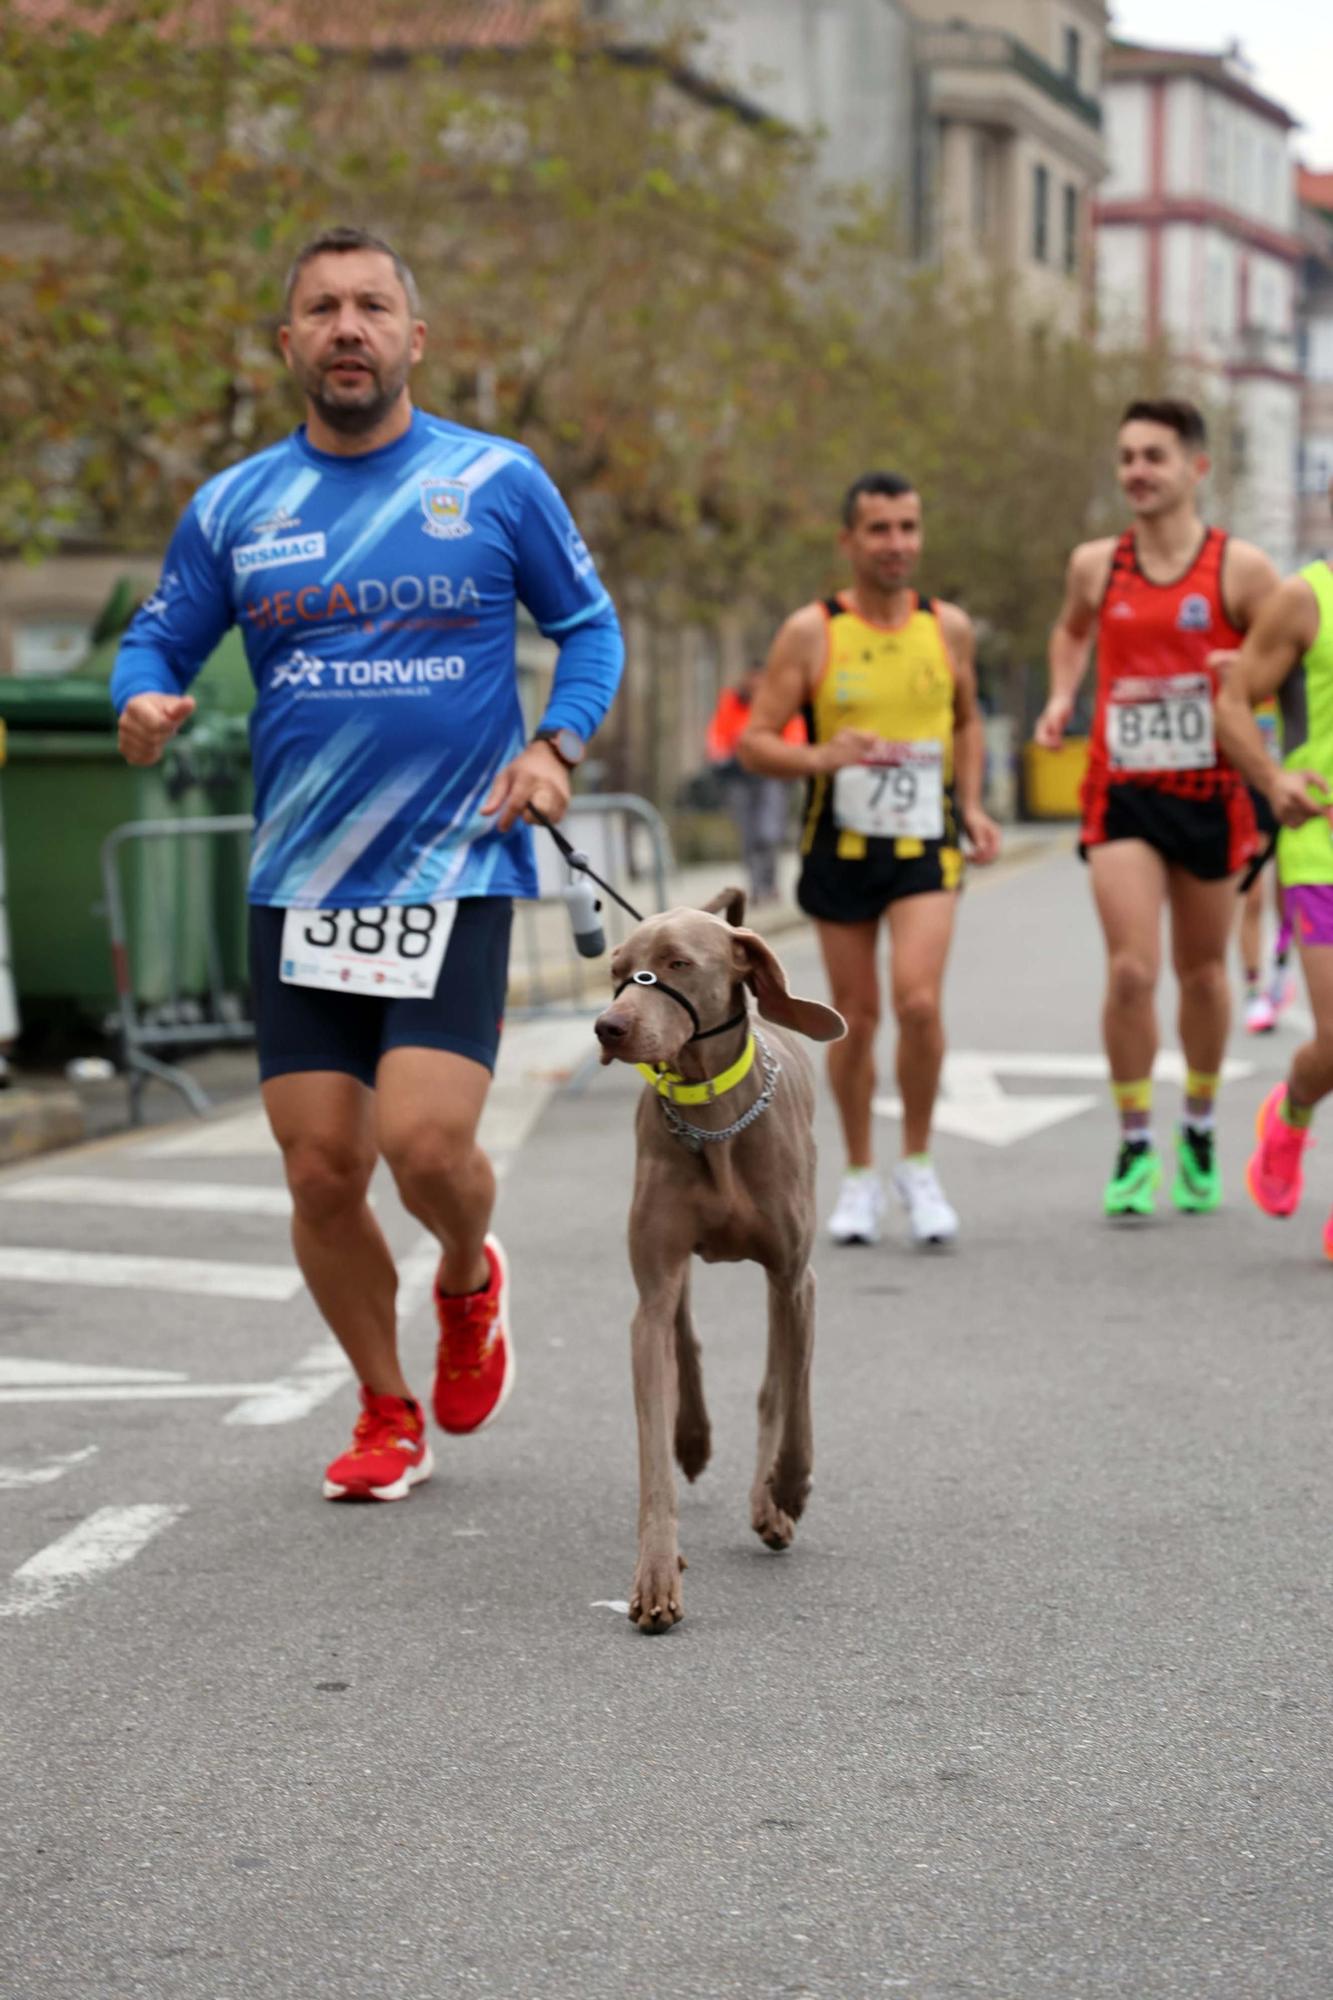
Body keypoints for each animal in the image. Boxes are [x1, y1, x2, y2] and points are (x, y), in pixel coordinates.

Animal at [592, 892, 840, 1624]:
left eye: (678, 963)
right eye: (616, 969)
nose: (608, 1027)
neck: (713, 1113)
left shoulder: (794, 1278)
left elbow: (792, 1402)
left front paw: (788, 1490)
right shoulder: (651, 1291)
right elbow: (652, 1449)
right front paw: (655, 1575)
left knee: (776, 1384)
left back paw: (768, 1499)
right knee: (682, 1333)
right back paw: (695, 1438)